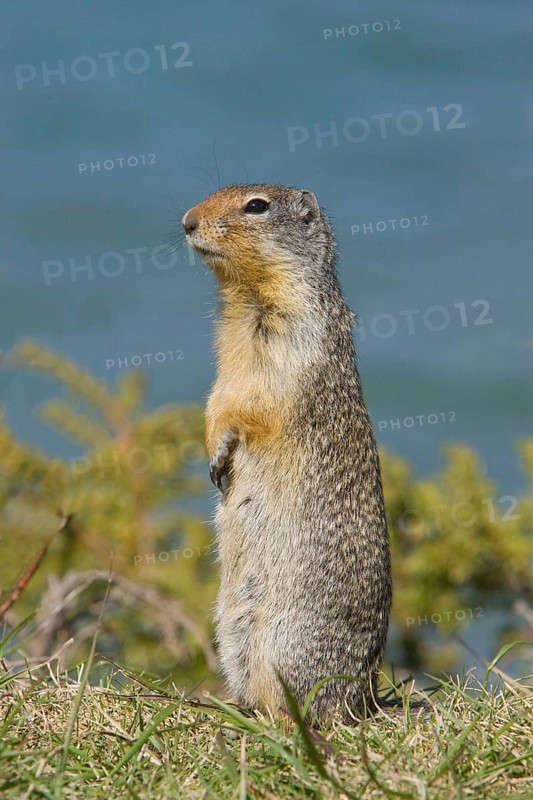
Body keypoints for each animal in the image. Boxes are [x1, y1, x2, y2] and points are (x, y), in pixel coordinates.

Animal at [182, 183, 392, 725]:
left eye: (257, 206)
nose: (188, 222)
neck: (247, 296)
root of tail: (363, 698)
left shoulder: (293, 341)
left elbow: (253, 404)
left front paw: (222, 451)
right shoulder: (228, 360)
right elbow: (215, 398)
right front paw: (213, 452)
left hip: (287, 642)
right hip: (235, 635)